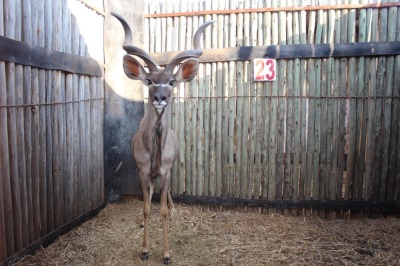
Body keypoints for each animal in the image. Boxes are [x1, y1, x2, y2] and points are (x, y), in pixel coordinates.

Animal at [110, 11, 216, 264]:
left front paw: (166, 254)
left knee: (166, 196)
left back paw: (174, 207)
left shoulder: (166, 169)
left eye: (171, 82)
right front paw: (145, 250)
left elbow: (163, 210)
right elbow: (147, 207)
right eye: (149, 81)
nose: (160, 98)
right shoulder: (142, 171)